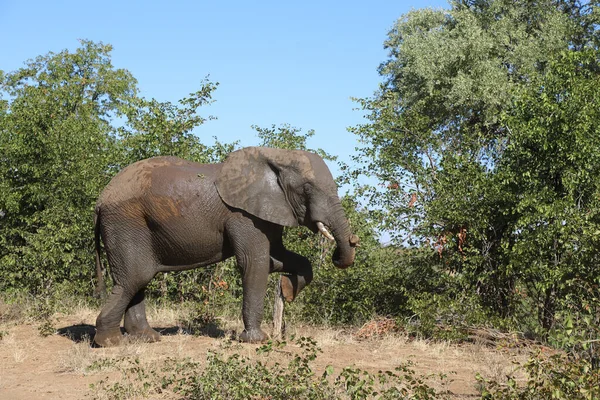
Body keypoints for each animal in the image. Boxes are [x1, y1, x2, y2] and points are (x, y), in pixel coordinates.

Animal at [92, 147, 356, 346]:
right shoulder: (243, 215)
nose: (352, 242)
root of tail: (100, 200)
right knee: (134, 278)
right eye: (307, 189)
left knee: (139, 278)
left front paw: (287, 289)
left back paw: (147, 338)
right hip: (125, 222)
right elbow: (255, 262)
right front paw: (256, 340)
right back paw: (111, 343)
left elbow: (280, 256)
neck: (278, 156)